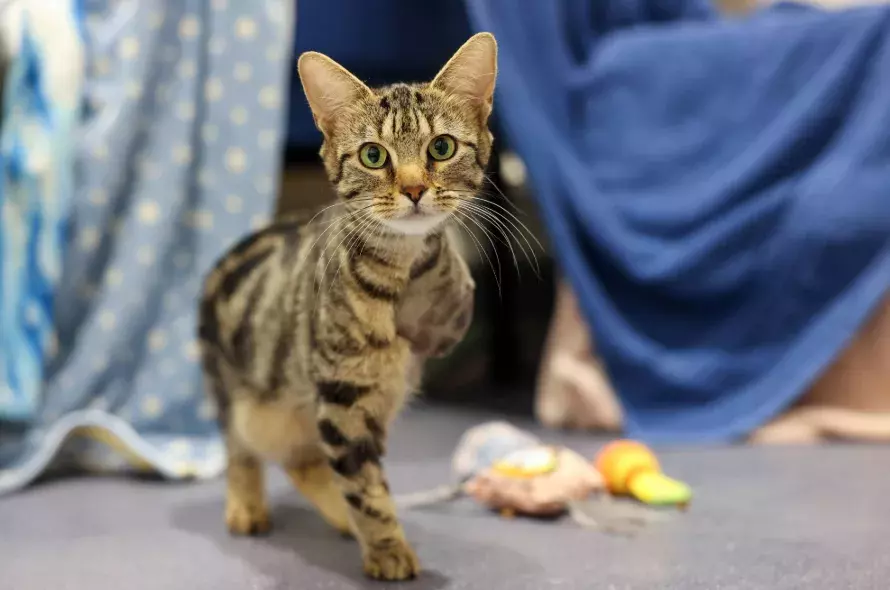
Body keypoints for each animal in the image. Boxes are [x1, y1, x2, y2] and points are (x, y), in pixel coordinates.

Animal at [197, 33, 496, 584]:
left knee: (304, 460)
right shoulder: (343, 397)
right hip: (239, 396)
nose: (414, 189)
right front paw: (386, 549)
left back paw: (338, 516)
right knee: (243, 449)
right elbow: (365, 486)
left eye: (441, 147)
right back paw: (248, 505)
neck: (400, 269)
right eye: (373, 155)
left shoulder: (387, 386)